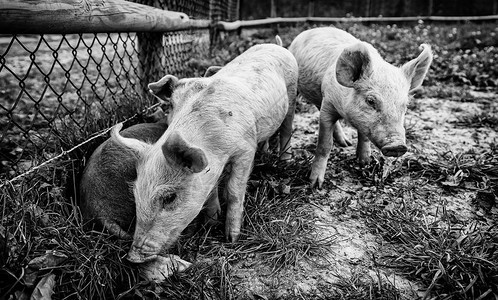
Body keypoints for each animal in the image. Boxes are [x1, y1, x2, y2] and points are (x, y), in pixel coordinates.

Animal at [113, 42, 298, 262]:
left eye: (169, 197)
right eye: (135, 192)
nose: (132, 257)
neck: (215, 146)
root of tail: (276, 45)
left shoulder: (245, 149)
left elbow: (234, 191)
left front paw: (231, 239)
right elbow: (210, 191)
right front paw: (212, 222)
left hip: (293, 93)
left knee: (287, 127)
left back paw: (285, 160)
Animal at [288, 27, 432, 188]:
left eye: (405, 105)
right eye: (370, 101)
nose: (397, 145)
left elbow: (364, 137)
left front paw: (365, 162)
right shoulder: (328, 103)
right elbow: (325, 144)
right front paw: (314, 184)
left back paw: (346, 143)